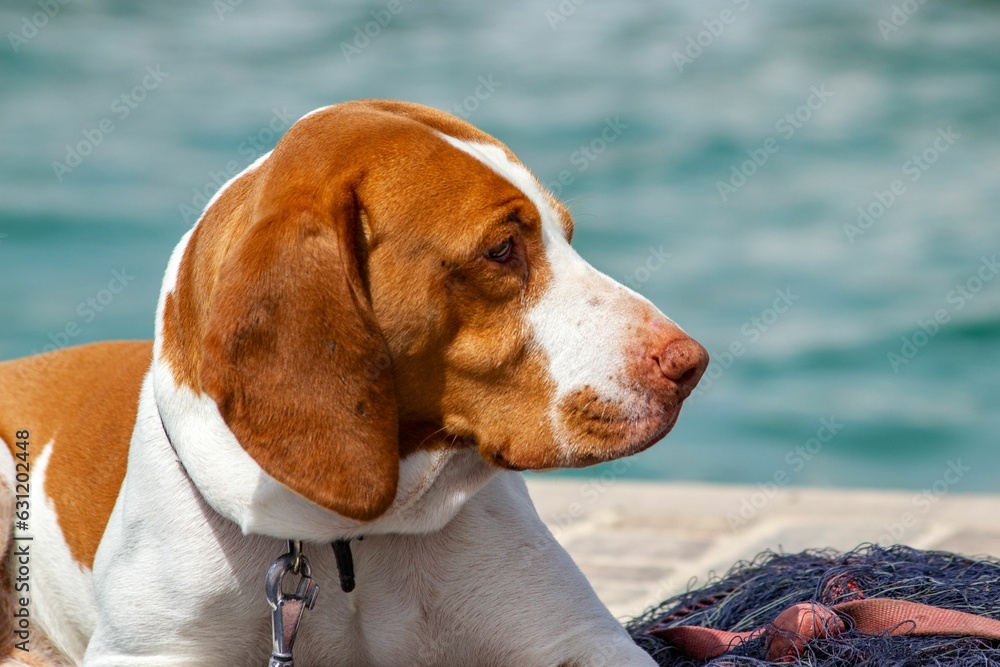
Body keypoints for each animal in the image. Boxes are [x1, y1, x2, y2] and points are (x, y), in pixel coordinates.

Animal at [0, 100, 708, 667]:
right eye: (502, 249)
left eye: (567, 234)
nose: (690, 363)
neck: (343, 540)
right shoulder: (152, 650)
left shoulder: (580, 640)